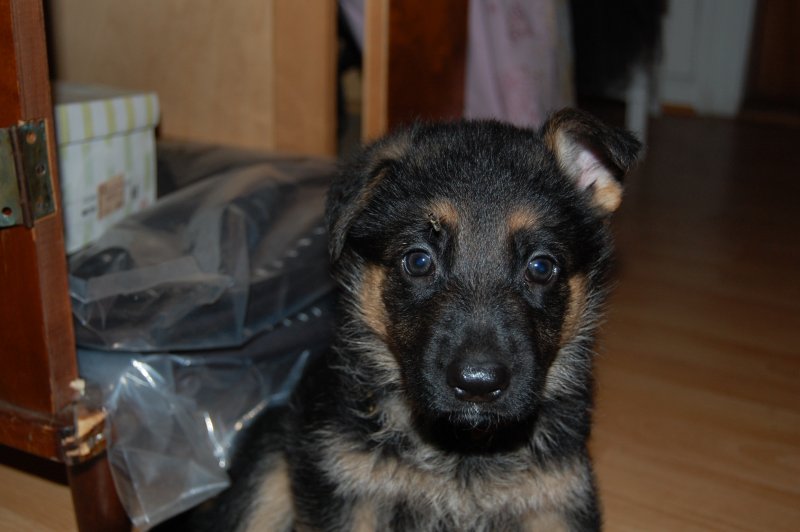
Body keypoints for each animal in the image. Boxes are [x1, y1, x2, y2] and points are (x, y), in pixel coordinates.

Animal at [182, 109, 640, 531]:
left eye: (541, 267)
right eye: (419, 261)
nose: (478, 384)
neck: (461, 450)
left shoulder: (556, 502)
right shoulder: (343, 491)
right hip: (267, 470)